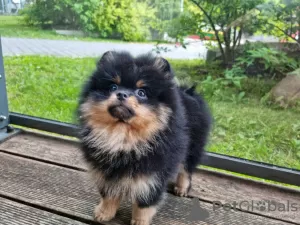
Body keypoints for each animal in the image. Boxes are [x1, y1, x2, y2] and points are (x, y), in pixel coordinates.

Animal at [78, 51, 212, 225]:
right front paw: (105, 212)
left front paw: (140, 221)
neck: (123, 137)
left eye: (141, 92)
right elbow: (109, 194)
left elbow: (145, 203)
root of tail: (187, 92)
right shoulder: (107, 170)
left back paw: (182, 188)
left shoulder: (153, 175)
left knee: (186, 169)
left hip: (193, 147)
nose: (121, 94)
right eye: (113, 87)